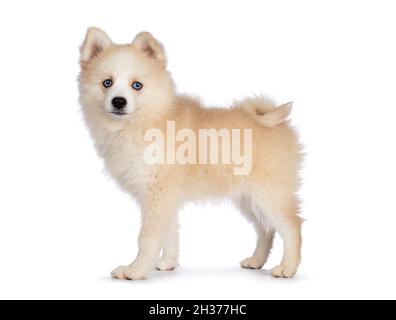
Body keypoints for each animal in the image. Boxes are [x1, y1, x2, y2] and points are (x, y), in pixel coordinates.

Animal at [79, 26, 304, 280]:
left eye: (137, 85)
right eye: (107, 83)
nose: (118, 101)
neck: (148, 121)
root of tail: (276, 120)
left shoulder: (158, 194)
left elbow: (148, 237)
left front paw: (135, 270)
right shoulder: (165, 197)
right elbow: (170, 234)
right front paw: (167, 263)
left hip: (269, 193)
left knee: (291, 227)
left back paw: (287, 267)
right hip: (247, 197)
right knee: (265, 229)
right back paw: (256, 261)